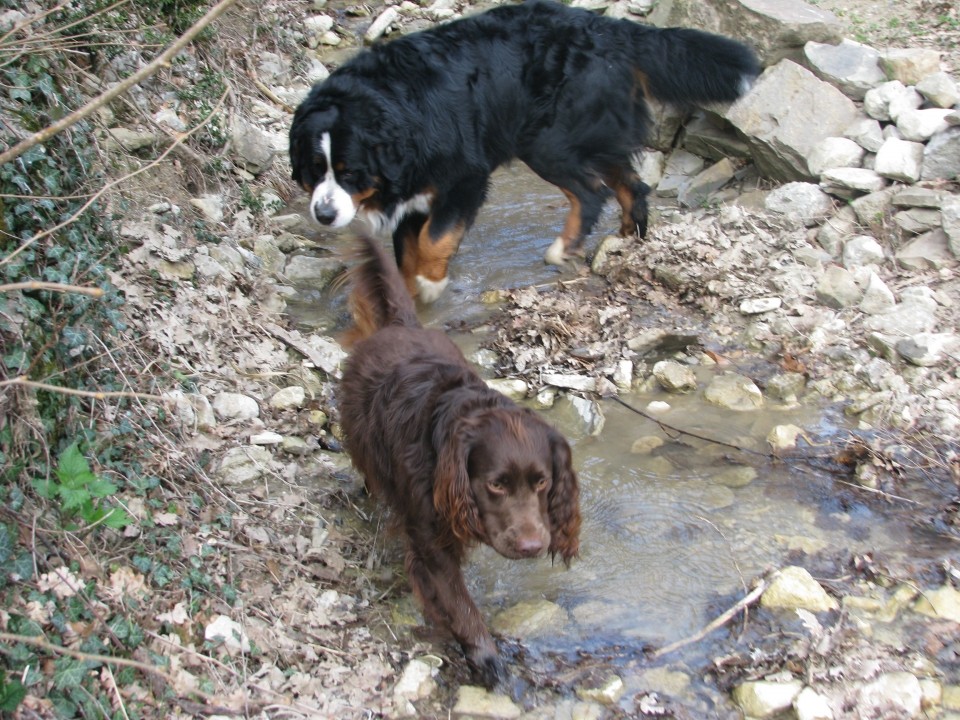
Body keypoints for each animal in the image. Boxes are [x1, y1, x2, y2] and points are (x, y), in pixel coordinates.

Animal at [342, 235, 580, 680]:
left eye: (542, 481)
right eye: (496, 484)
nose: (532, 546)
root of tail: (402, 325)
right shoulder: (429, 537)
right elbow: (457, 601)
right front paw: (486, 656)